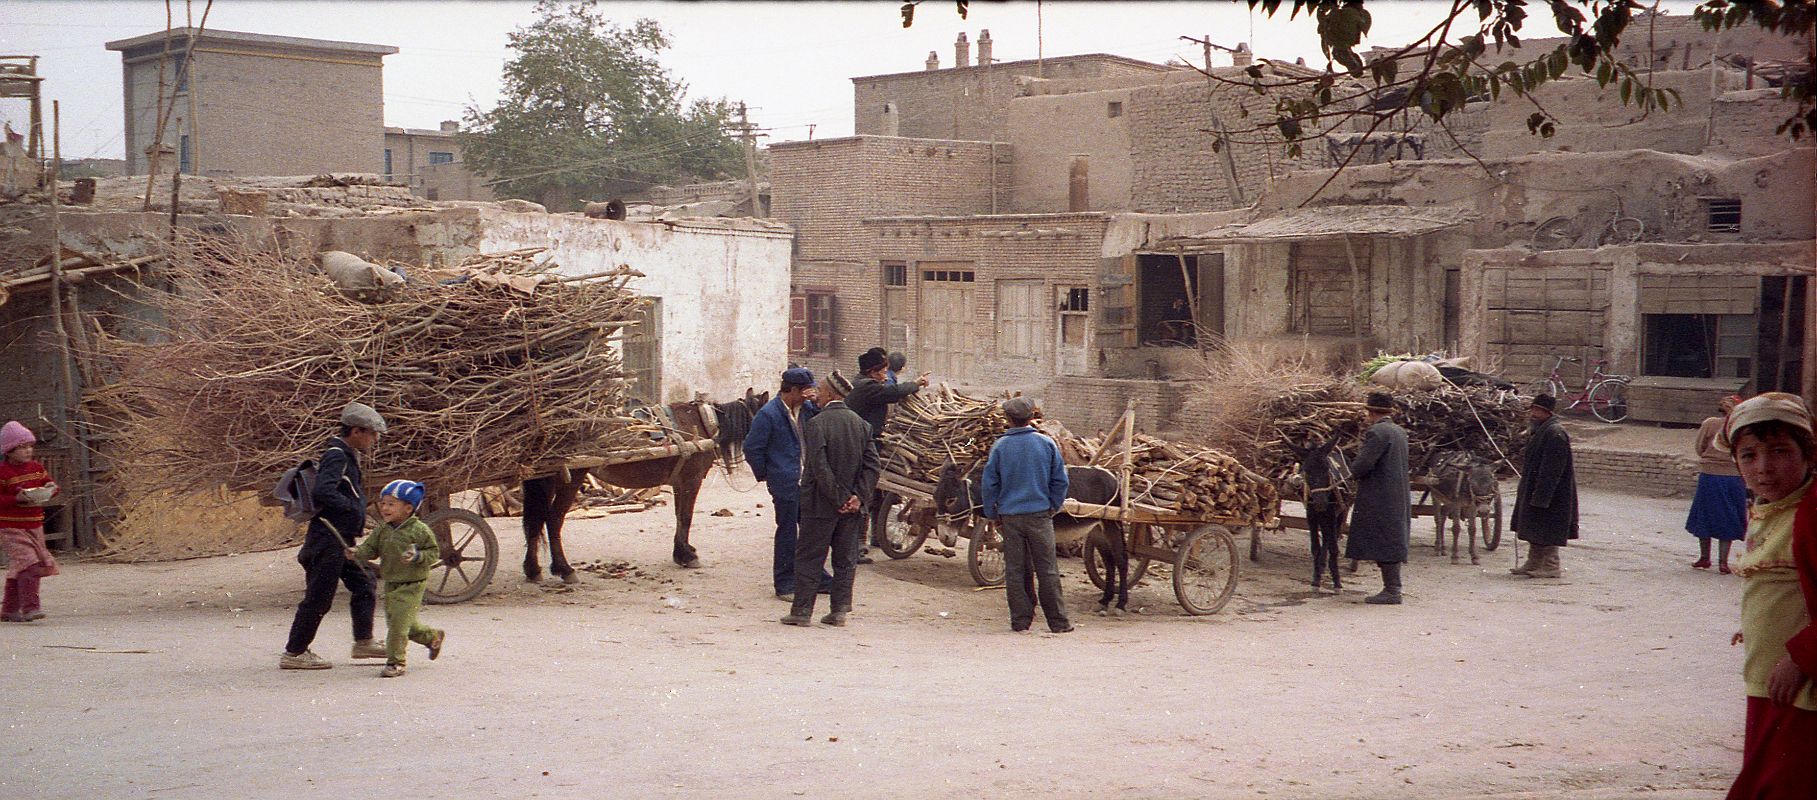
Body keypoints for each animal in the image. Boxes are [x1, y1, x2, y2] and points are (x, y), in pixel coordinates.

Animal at [519, 392, 766, 585]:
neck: (706, 424)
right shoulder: (691, 481)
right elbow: (686, 517)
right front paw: (688, 556)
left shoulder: (679, 483)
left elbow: (679, 516)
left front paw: (681, 552)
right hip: (571, 477)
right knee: (553, 519)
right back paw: (565, 569)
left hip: (546, 478)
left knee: (535, 519)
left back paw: (533, 570)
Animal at [930, 456, 1126, 610]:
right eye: (934, 497)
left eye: (951, 500)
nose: (944, 537)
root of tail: (1113, 475)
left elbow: (1030, 567)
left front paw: (1032, 601)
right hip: (1097, 530)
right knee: (1110, 563)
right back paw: (1105, 601)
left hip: (1112, 524)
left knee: (1121, 560)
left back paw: (1120, 604)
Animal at [1279, 438, 1351, 589]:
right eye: (1306, 471)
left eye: (1327, 469)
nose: (1320, 503)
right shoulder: (1311, 514)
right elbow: (1315, 547)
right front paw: (1316, 579)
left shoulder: (1332, 513)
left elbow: (1333, 547)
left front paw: (1337, 581)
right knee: (1326, 536)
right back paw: (1322, 565)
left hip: (1340, 512)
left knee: (1332, 536)